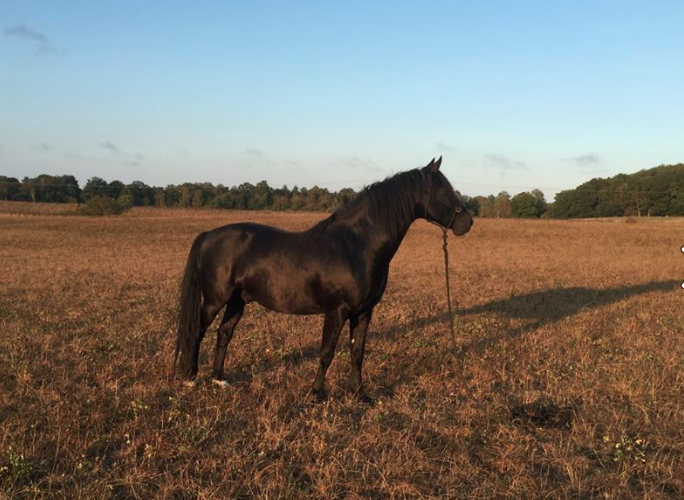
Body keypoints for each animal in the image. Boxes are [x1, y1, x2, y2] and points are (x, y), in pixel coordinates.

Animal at [174, 158, 472, 400]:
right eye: (444, 190)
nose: (467, 222)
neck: (356, 245)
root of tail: (210, 235)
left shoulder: (364, 312)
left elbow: (357, 353)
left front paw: (360, 394)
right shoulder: (336, 311)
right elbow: (327, 352)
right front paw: (317, 393)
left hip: (238, 300)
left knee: (224, 334)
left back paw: (219, 379)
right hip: (215, 299)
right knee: (197, 331)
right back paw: (190, 378)